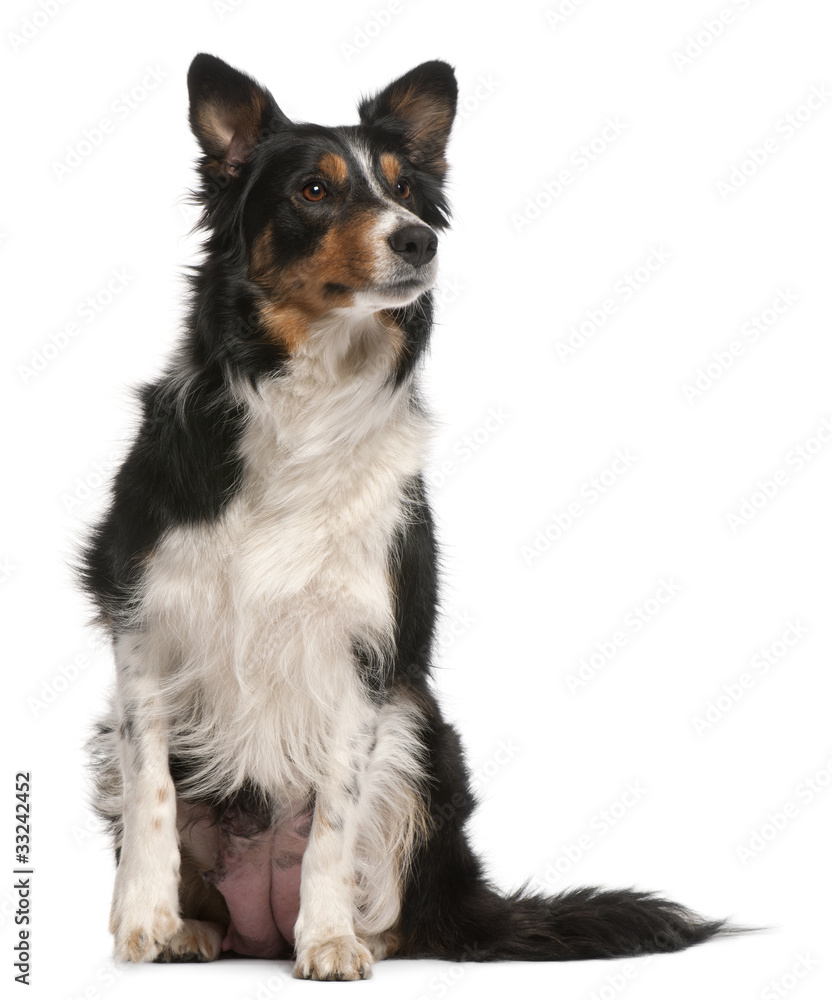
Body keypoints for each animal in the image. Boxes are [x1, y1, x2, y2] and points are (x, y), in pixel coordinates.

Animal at [83, 52, 736, 976]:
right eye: (314, 190)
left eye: (404, 191)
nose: (419, 239)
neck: (305, 396)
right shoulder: (142, 618)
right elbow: (153, 790)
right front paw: (143, 917)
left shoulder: (366, 653)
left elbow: (332, 818)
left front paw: (327, 941)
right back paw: (193, 931)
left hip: (422, 735)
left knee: (400, 911)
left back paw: (350, 932)